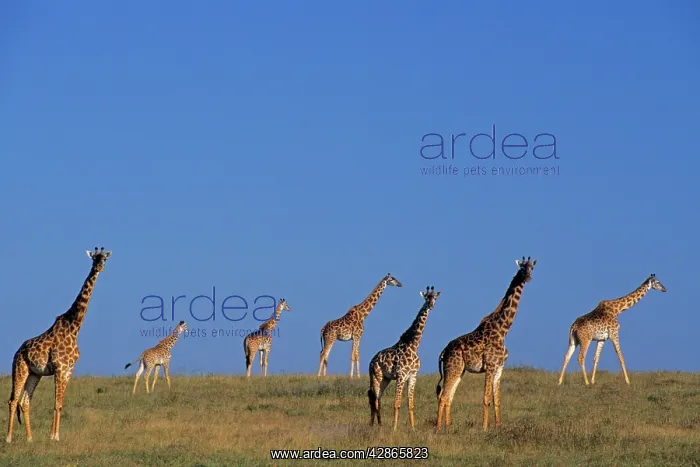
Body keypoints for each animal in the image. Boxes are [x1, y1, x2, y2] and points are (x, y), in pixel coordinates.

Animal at [6, 247, 112, 443]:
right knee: (13, 400)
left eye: (104, 259)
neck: (74, 327)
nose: (99, 267)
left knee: (25, 401)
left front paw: (55, 435)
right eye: (94, 258)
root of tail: (17, 352)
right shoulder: (60, 367)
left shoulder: (69, 369)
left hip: (34, 373)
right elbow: (56, 403)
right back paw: (9, 438)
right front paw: (53, 436)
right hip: (20, 369)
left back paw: (30, 438)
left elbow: (60, 404)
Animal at [368, 286, 441, 431]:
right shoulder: (401, 375)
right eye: (426, 298)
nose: (431, 305)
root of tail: (371, 361)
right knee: (374, 399)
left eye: (435, 298)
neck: (413, 345)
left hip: (385, 379)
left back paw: (378, 424)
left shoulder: (413, 375)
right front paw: (394, 428)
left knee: (378, 398)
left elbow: (410, 404)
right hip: (376, 376)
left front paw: (413, 428)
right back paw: (375, 425)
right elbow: (396, 403)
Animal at [435, 256, 537, 433]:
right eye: (522, 268)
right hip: (452, 368)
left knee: (449, 397)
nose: (528, 277)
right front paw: (484, 428)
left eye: (532, 268)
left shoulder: (499, 368)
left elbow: (497, 400)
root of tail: (444, 351)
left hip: (460, 370)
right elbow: (486, 398)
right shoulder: (489, 366)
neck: (503, 329)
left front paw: (498, 426)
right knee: (443, 396)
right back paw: (438, 428)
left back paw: (448, 427)